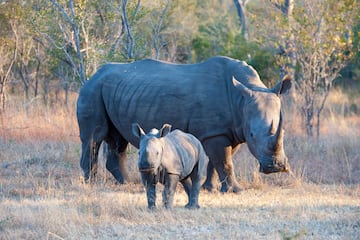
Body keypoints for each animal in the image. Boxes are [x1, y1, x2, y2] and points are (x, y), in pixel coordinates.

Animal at [76, 55, 292, 192]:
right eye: (253, 136)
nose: (276, 166)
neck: (241, 98)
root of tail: (94, 74)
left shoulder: (230, 130)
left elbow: (217, 162)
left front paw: (209, 188)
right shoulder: (216, 132)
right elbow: (224, 162)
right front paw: (236, 190)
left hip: (117, 92)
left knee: (118, 140)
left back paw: (128, 183)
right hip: (92, 90)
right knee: (94, 137)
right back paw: (91, 184)